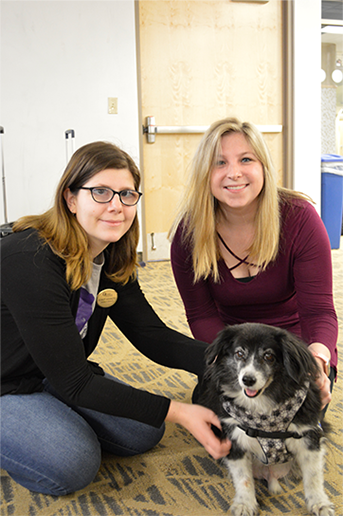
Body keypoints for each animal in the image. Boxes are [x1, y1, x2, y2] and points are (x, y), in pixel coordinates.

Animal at [199, 322, 336, 516]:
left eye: (269, 356)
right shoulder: (234, 439)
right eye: (239, 353)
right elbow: (243, 477)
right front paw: (245, 504)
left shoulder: (309, 436)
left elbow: (313, 476)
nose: (247, 380)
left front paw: (319, 504)